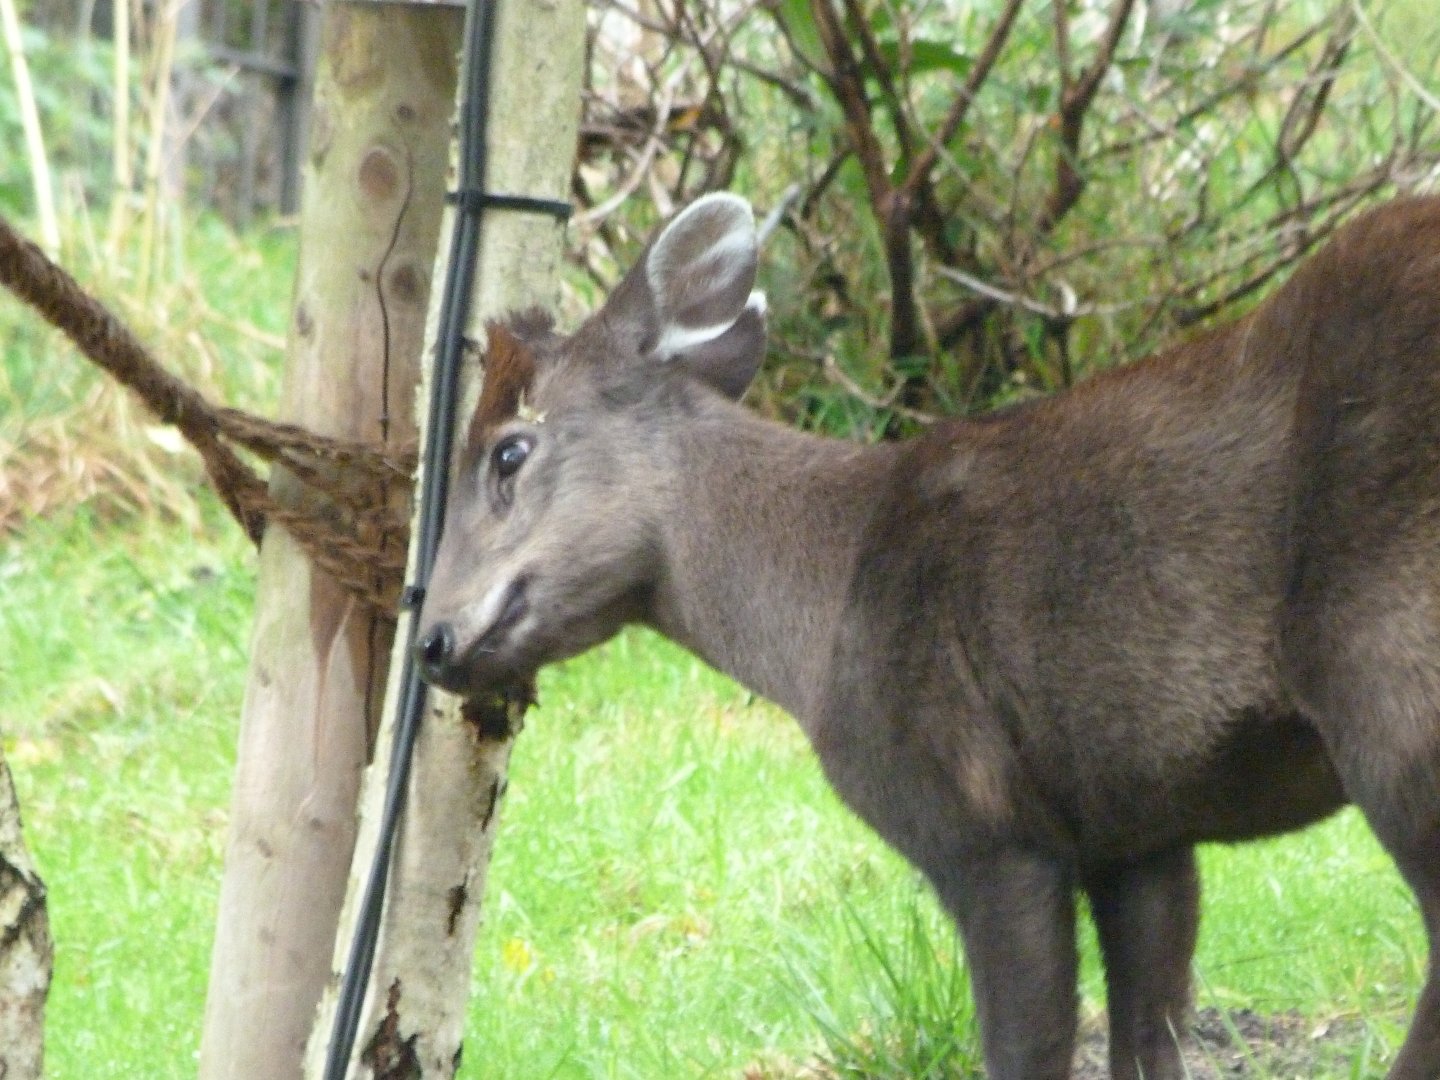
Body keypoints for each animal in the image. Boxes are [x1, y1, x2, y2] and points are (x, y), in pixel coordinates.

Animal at [413, 191, 1440, 1080]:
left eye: (509, 449)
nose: (432, 641)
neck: (822, 610)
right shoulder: (1134, 824)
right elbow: (1150, 1039)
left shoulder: (980, 823)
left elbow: (1026, 1050)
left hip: (1388, 670)